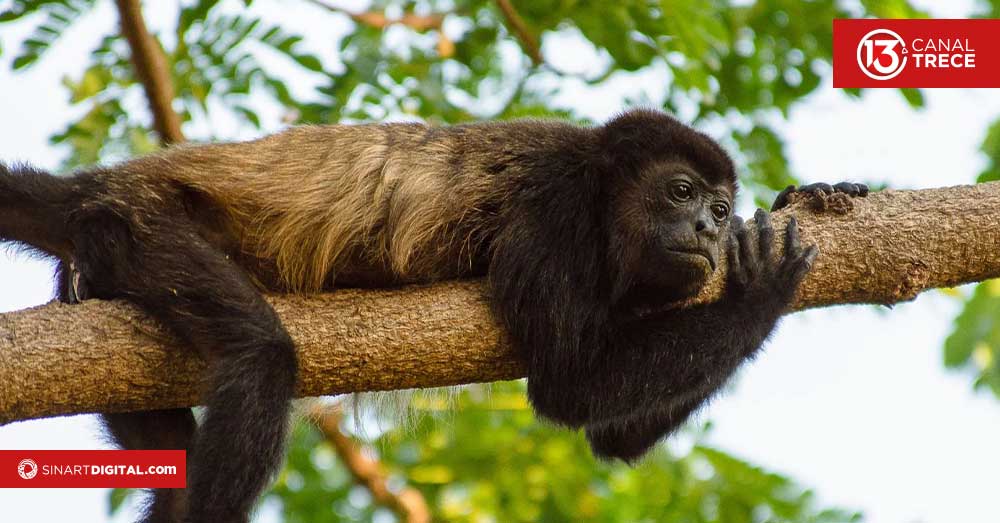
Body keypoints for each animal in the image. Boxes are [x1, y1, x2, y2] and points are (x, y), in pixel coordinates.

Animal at [0, 109, 867, 523]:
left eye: (721, 208)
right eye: (682, 193)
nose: (711, 231)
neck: (604, 195)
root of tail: (101, 185)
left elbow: (610, 435)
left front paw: (810, 195)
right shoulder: (555, 207)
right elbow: (569, 385)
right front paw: (761, 290)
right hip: (147, 222)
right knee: (261, 352)